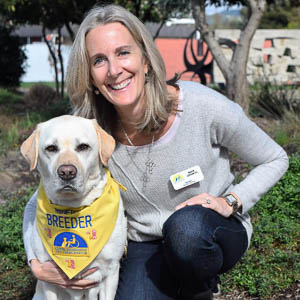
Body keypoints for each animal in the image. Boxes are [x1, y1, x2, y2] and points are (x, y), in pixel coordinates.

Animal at [21, 115, 126, 300]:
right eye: (51, 148)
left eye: (83, 147)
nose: (67, 172)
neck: (72, 208)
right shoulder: (49, 277)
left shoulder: (111, 271)